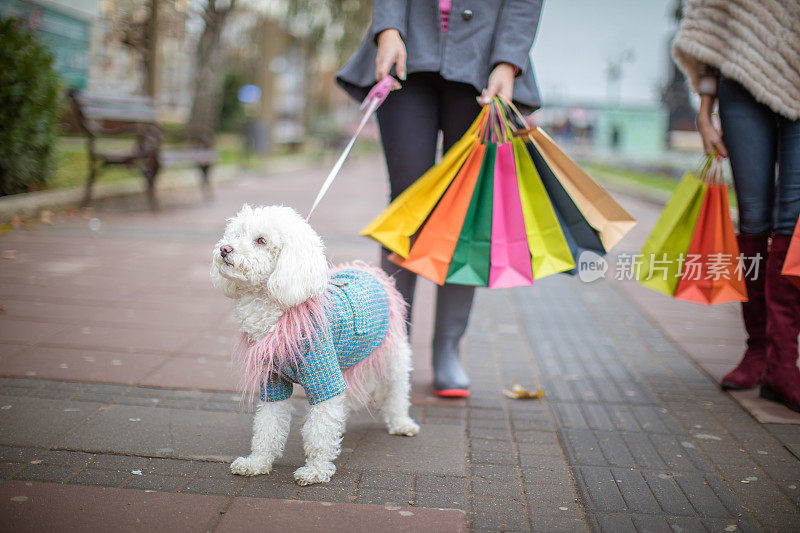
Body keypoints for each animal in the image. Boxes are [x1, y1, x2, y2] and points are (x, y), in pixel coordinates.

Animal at [209, 205, 422, 486]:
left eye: (261, 240)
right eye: (235, 234)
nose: (225, 249)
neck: (279, 314)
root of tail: (369, 270)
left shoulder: (323, 375)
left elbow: (319, 431)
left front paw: (316, 470)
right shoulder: (272, 380)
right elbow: (267, 425)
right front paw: (257, 462)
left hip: (392, 353)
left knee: (397, 390)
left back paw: (402, 423)